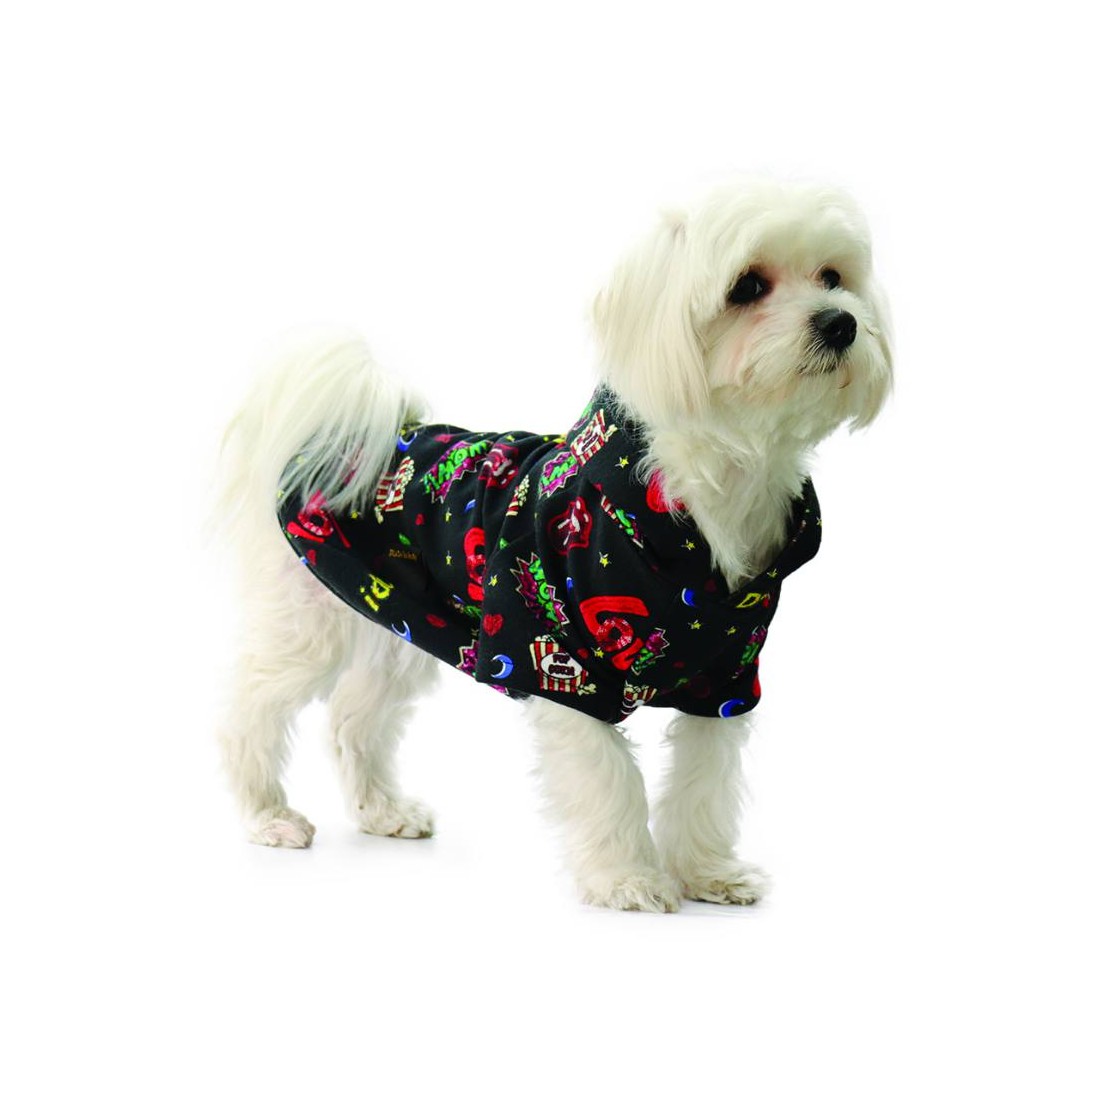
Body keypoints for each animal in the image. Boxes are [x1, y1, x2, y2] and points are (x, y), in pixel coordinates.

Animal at [216, 179, 892, 912]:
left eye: (834, 277)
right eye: (747, 286)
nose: (841, 322)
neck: (702, 501)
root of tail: (332, 441)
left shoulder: (725, 678)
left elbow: (704, 781)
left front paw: (708, 872)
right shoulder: (559, 660)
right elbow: (609, 778)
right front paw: (627, 878)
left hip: (403, 620)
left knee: (351, 718)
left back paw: (382, 812)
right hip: (309, 620)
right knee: (251, 709)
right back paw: (266, 815)